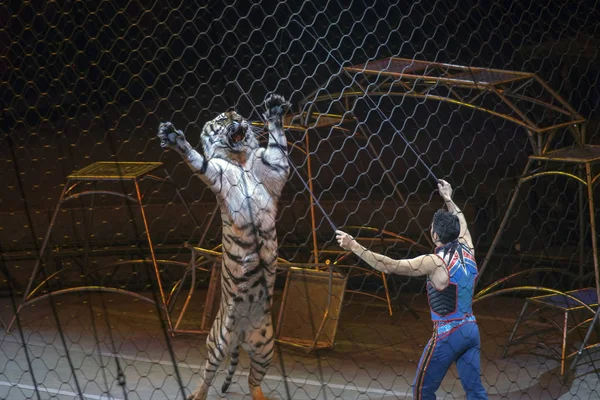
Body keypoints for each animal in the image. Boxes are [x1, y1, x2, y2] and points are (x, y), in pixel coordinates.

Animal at [158, 94, 292, 400]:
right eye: (221, 119)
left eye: (239, 114)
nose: (235, 117)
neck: (239, 158)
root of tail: (240, 337)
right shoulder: (217, 175)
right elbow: (198, 161)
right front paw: (174, 138)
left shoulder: (275, 168)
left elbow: (278, 146)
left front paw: (274, 111)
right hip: (218, 342)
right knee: (208, 375)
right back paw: (197, 395)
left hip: (265, 348)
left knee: (253, 380)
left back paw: (261, 396)